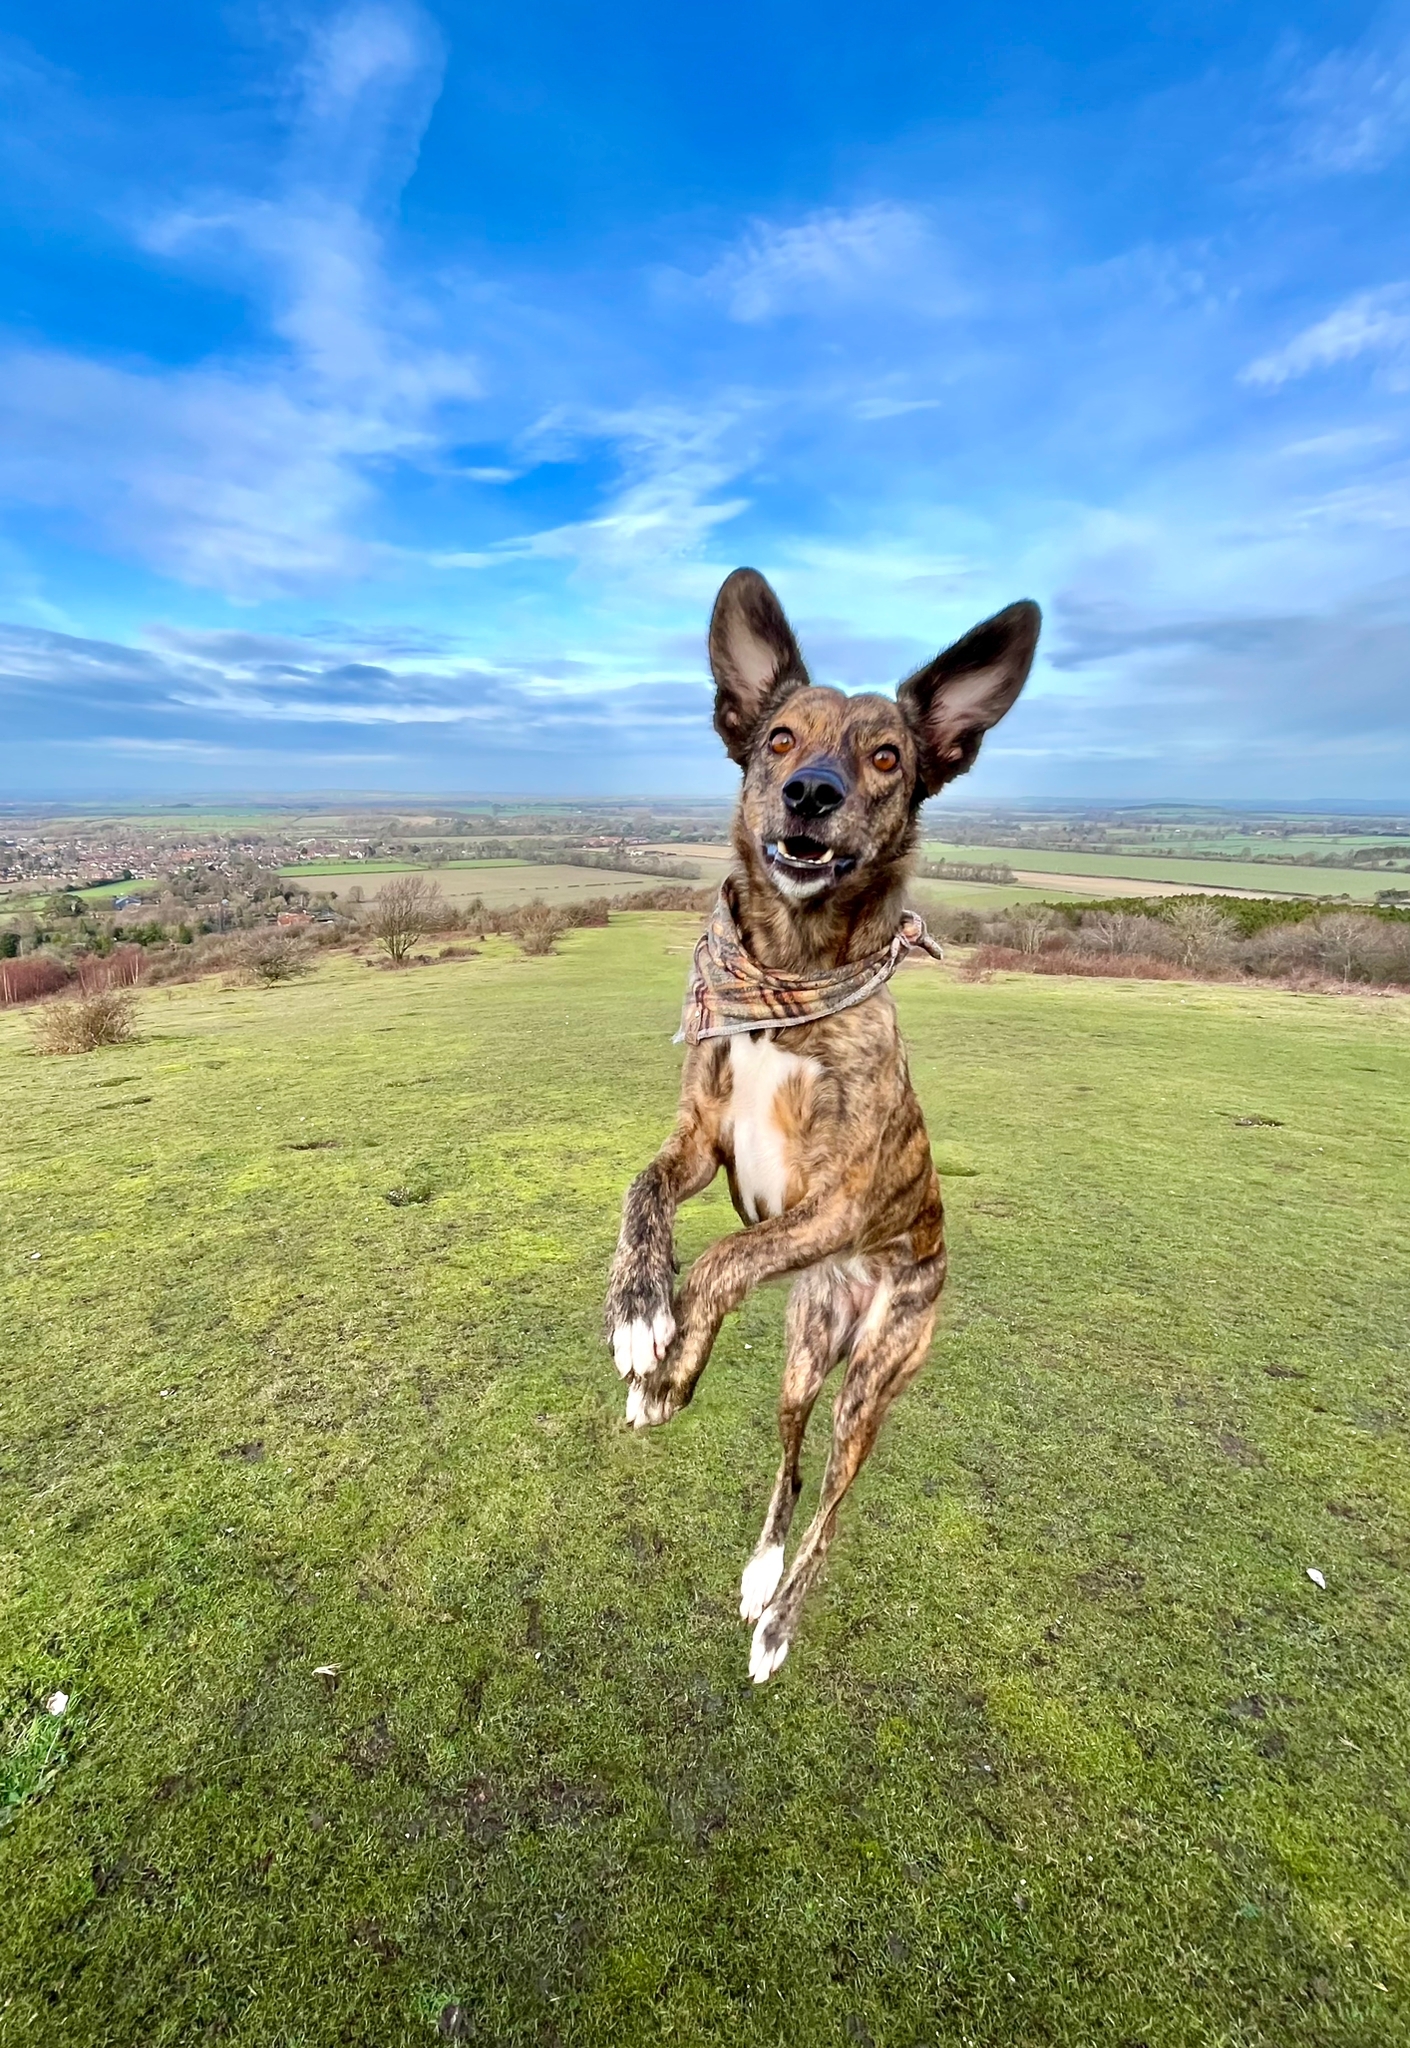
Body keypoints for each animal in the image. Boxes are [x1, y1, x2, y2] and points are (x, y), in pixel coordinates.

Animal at [598, 565, 1041, 1679]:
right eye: (780, 739)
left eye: (887, 756)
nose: (811, 794)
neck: (789, 981)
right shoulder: (701, 1144)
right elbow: (642, 1192)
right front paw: (639, 1309)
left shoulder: (833, 1206)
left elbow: (719, 1263)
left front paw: (667, 1362)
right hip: (805, 1350)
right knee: (791, 1461)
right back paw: (760, 1570)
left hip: (873, 1377)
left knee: (837, 1499)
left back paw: (780, 1621)